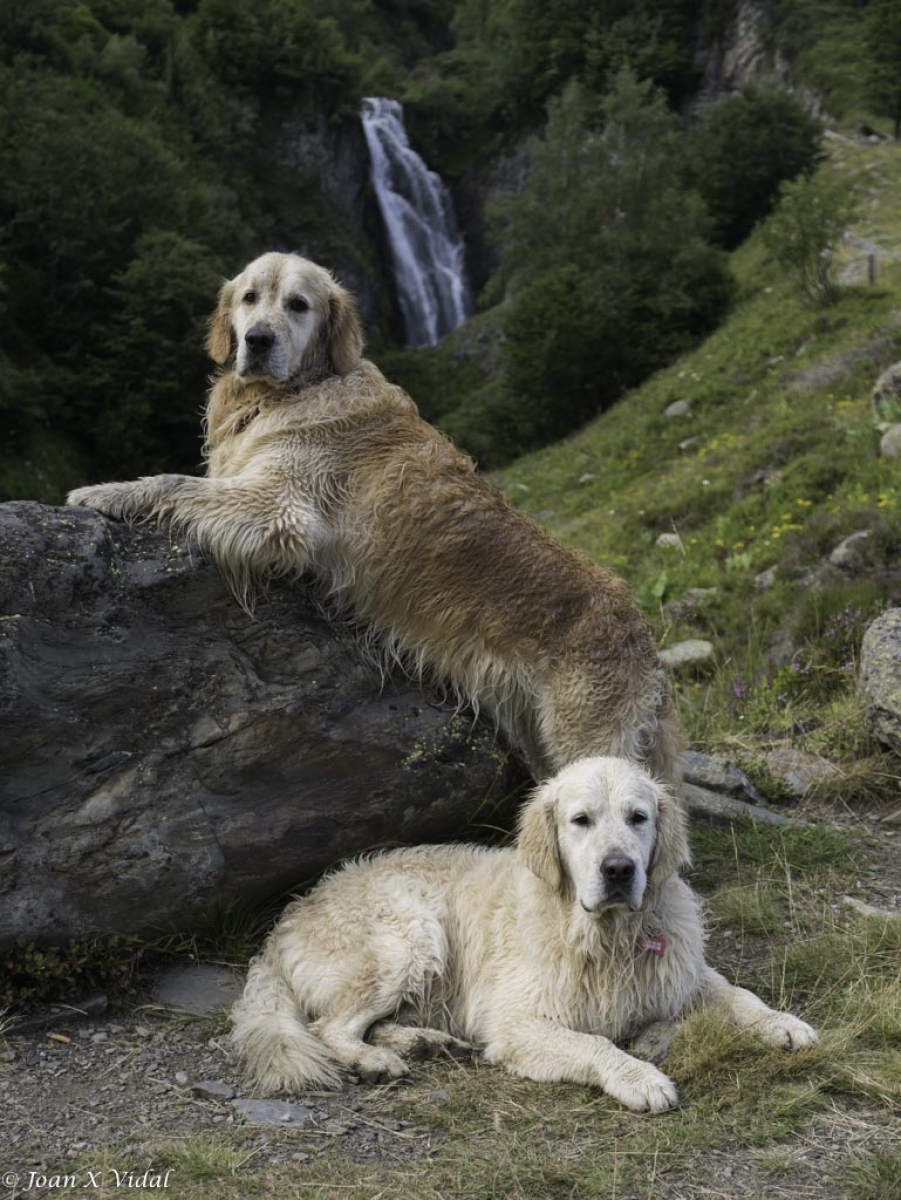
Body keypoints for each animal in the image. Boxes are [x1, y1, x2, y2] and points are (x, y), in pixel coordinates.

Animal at [68, 248, 676, 782]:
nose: (258, 340)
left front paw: (106, 491)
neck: (293, 390)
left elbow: (174, 483)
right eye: (249, 298)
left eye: (298, 305)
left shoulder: (279, 510)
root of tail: (643, 635)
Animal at [230, 758, 815, 1113]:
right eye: (581, 820)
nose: (619, 869)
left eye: (638, 817)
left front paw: (783, 1024)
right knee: (329, 1026)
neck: (604, 938)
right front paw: (640, 1077)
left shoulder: (680, 972)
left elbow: (739, 996)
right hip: (410, 933)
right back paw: (377, 1060)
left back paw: (425, 1042)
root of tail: (287, 918)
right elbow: (595, 1042)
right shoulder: (519, 1023)